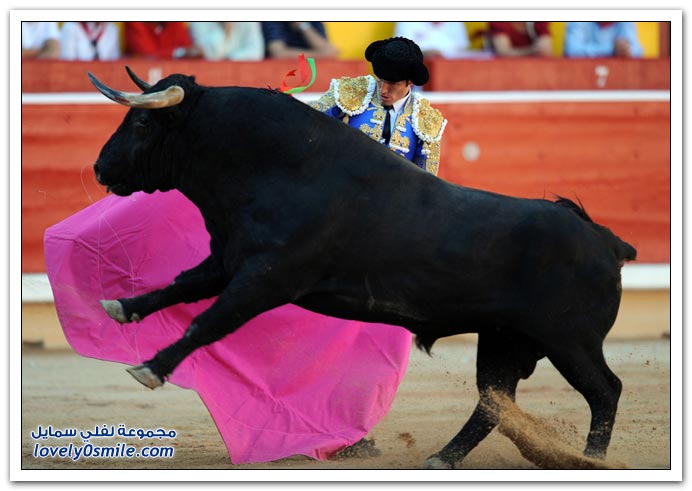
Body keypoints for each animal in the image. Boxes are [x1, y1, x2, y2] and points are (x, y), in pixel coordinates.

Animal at [86, 67, 636, 470]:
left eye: (141, 124)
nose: (99, 167)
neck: (273, 164)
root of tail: (604, 241)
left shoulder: (267, 277)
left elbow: (209, 320)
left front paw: (151, 368)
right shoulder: (230, 262)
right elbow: (177, 287)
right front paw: (120, 307)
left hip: (569, 341)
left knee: (604, 391)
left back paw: (590, 461)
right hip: (504, 340)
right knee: (493, 401)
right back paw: (442, 459)